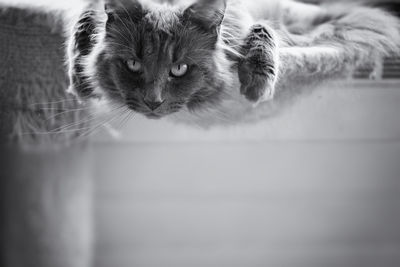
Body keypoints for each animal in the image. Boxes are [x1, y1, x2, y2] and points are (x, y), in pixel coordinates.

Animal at [67, 0, 400, 125]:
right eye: (133, 65)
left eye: (179, 69)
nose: (153, 102)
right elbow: (83, 23)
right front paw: (81, 78)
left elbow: (262, 31)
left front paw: (257, 83)